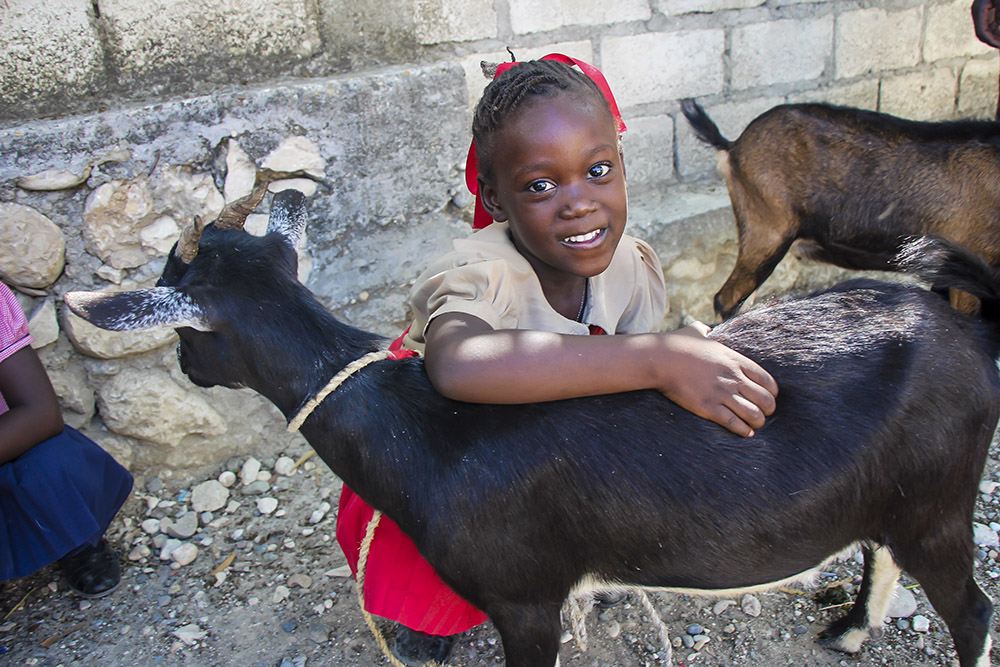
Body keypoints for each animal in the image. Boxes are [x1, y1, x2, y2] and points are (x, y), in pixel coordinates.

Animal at [68, 189, 1000, 667]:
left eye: (186, 326)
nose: (191, 370)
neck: (419, 429)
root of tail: (968, 325)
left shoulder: (521, 596)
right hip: (897, 495)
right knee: (881, 550)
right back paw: (849, 628)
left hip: (943, 500)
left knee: (973, 608)